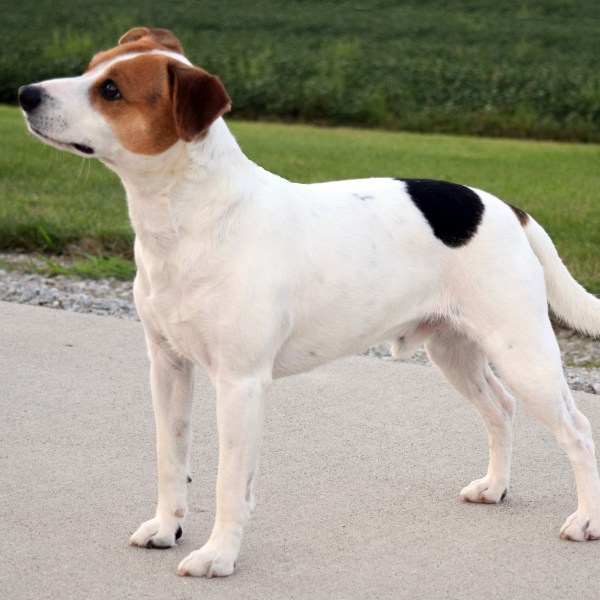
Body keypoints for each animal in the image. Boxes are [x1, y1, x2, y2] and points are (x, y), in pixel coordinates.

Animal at [18, 28, 600, 576]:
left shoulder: (240, 383)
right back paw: (494, 487)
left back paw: (585, 521)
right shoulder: (168, 367)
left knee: (578, 431)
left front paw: (218, 557)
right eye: (92, 66)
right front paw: (166, 528)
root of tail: (506, 206)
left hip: (523, 353)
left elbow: (230, 484)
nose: (24, 93)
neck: (192, 216)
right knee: (500, 410)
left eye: (111, 90)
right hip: (455, 350)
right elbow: (170, 458)